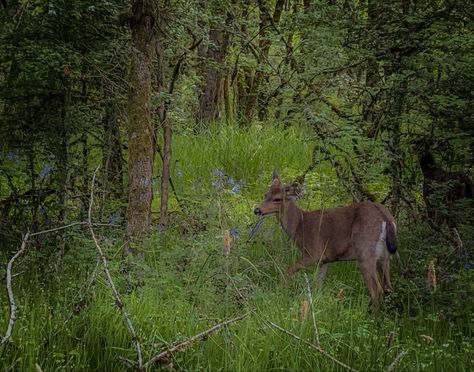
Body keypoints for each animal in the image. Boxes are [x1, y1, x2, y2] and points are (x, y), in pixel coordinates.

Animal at [256, 171, 396, 314]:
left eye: (277, 199)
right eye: (265, 195)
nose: (257, 210)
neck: (299, 225)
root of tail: (386, 217)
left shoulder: (315, 252)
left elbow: (289, 269)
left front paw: (282, 290)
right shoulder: (326, 260)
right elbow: (318, 284)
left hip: (365, 251)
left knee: (377, 289)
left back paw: (371, 316)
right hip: (384, 256)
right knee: (387, 287)